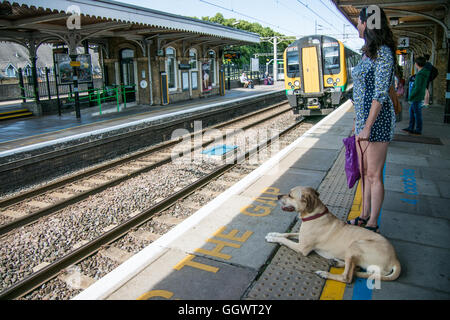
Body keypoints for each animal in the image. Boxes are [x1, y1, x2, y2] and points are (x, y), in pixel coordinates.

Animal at [264, 186, 400, 284]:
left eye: (290, 195)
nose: (277, 196)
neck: (314, 215)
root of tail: (395, 259)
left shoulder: (302, 248)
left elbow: (286, 241)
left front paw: (272, 238)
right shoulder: (301, 236)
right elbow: (288, 234)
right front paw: (274, 234)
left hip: (355, 245)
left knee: (347, 277)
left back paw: (325, 273)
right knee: (354, 267)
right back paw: (336, 262)